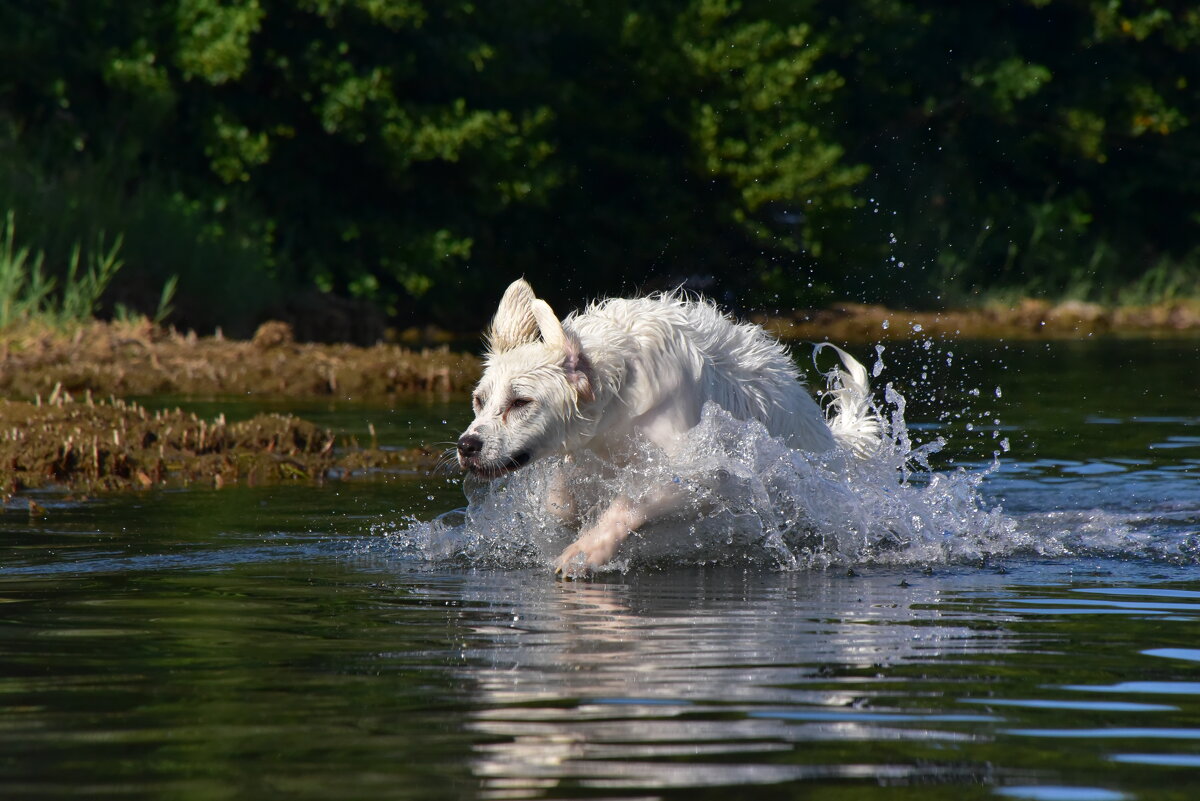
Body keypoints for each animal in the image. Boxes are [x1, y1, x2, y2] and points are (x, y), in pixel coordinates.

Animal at [458, 278, 883, 573]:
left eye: (520, 402)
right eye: (480, 400)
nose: (466, 446)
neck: (620, 389)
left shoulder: (711, 468)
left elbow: (633, 500)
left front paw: (585, 549)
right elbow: (560, 500)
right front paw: (573, 514)